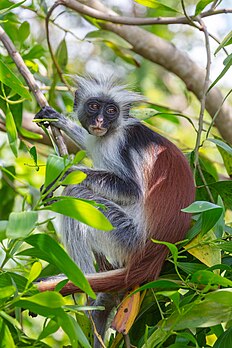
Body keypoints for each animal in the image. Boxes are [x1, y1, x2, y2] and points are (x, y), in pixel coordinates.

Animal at [35, 75, 196, 346]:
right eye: (93, 106)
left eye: (111, 111)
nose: (100, 121)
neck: (112, 132)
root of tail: (154, 256)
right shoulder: (98, 139)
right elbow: (89, 142)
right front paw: (59, 120)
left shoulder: (120, 145)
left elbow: (131, 191)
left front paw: (65, 174)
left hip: (125, 235)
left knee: (78, 195)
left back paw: (90, 294)